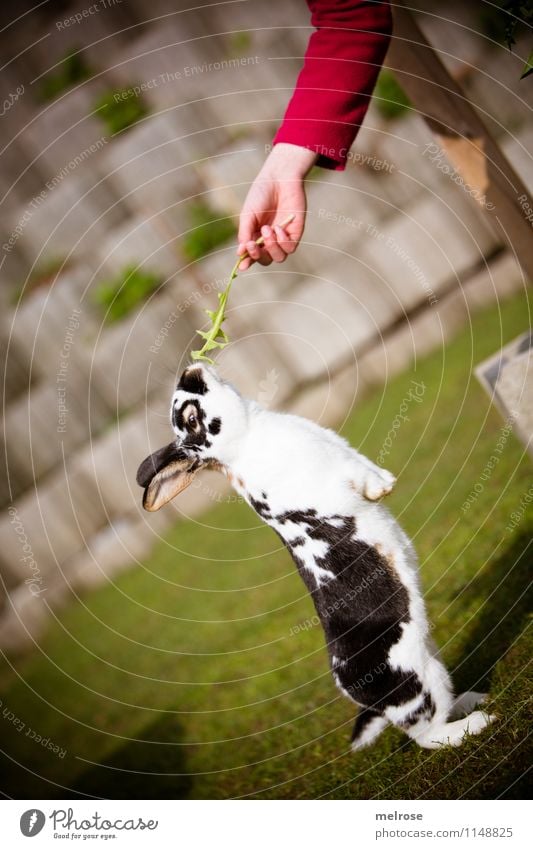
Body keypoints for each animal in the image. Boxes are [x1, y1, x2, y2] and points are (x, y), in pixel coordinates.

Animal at [137, 362, 494, 748]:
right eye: (191, 418)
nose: (190, 369)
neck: (248, 436)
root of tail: (357, 693)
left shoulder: (343, 451)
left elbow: (363, 464)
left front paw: (385, 482)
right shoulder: (334, 473)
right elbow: (358, 478)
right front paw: (383, 488)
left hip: (433, 660)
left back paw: (473, 699)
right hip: (419, 682)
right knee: (429, 734)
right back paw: (478, 721)